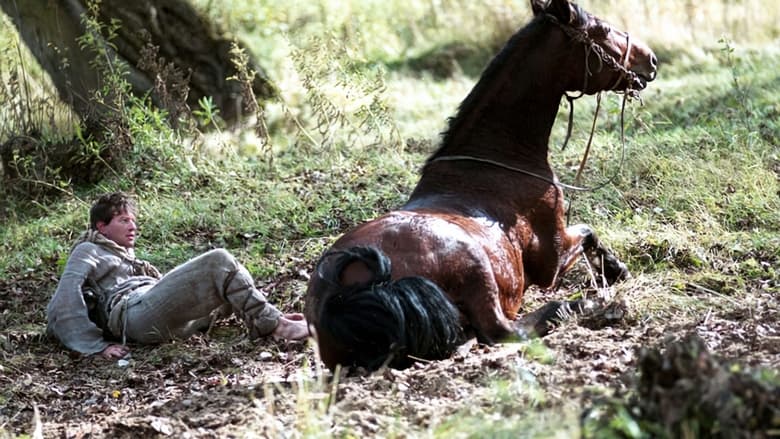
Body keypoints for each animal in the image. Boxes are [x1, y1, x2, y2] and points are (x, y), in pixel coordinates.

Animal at [302, 0, 656, 372]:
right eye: (601, 30)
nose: (650, 60)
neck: (496, 157)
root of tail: (336, 297)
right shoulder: (553, 261)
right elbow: (588, 233)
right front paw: (615, 272)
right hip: (476, 267)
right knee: (508, 330)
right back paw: (592, 305)